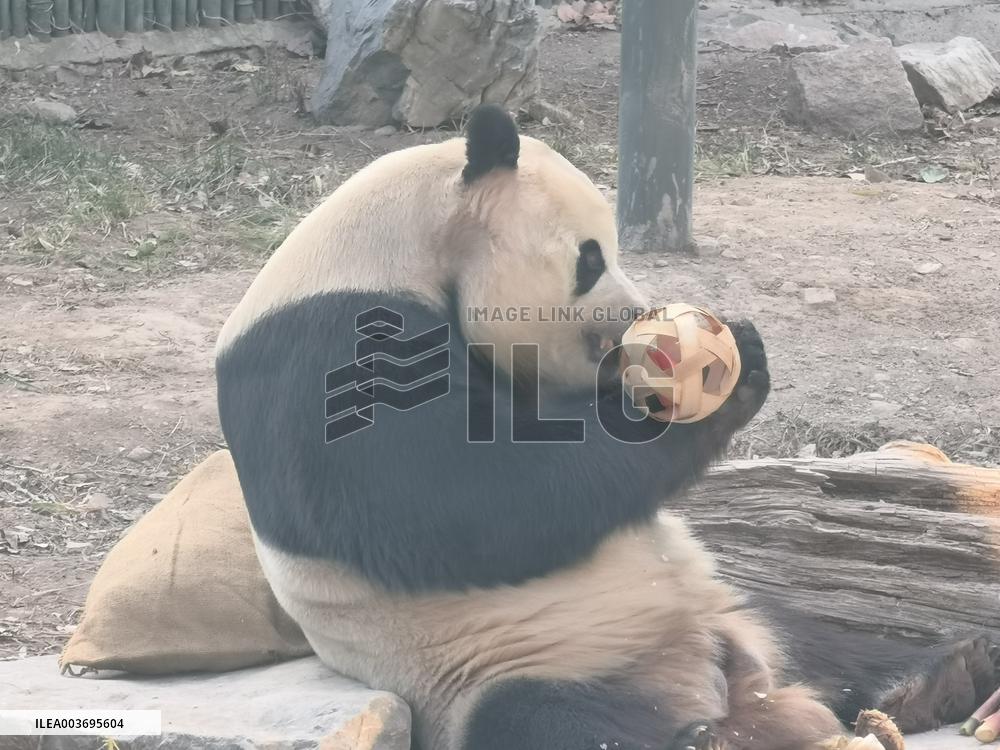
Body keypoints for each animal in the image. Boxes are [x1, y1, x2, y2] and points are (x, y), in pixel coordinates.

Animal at [216, 105, 996, 750]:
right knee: (548, 722)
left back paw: (940, 675)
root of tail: (733, 689)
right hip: (505, 664)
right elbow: (465, 501)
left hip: (729, 603)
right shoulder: (331, 352)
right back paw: (699, 738)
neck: (394, 246)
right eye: (590, 257)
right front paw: (700, 385)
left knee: (818, 638)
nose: (632, 317)